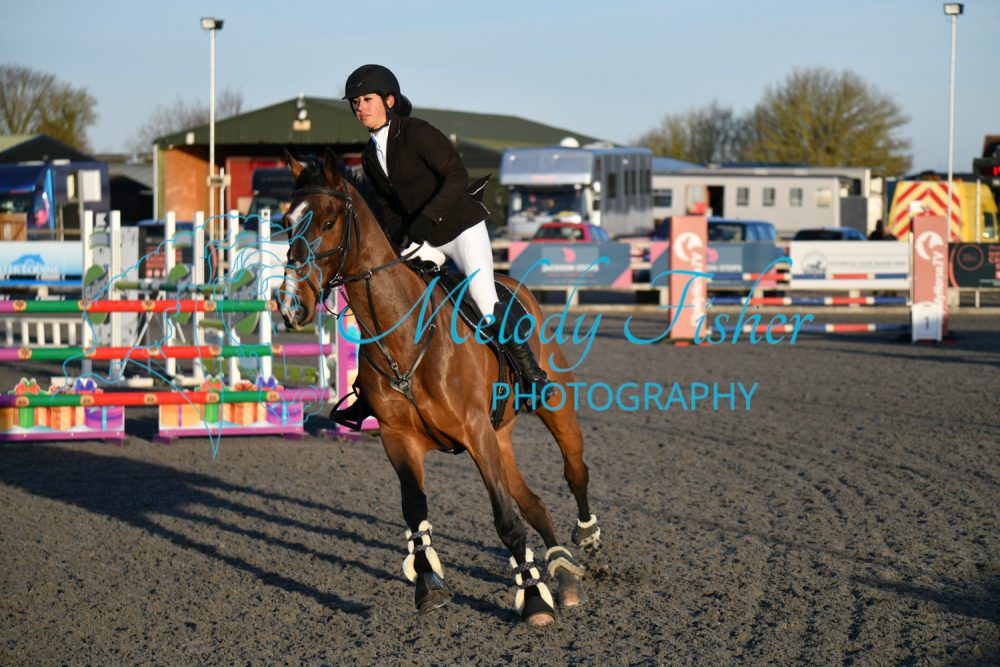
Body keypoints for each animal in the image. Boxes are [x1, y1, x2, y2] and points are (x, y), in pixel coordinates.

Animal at [279, 149, 601, 626]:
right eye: (286, 221)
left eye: (328, 221)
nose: (290, 306)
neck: (405, 336)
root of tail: (517, 287)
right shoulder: (399, 438)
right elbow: (416, 512)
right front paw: (429, 586)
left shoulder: (475, 432)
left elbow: (505, 520)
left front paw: (534, 602)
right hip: (500, 437)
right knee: (534, 502)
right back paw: (562, 572)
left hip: (551, 408)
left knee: (574, 470)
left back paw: (587, 540)